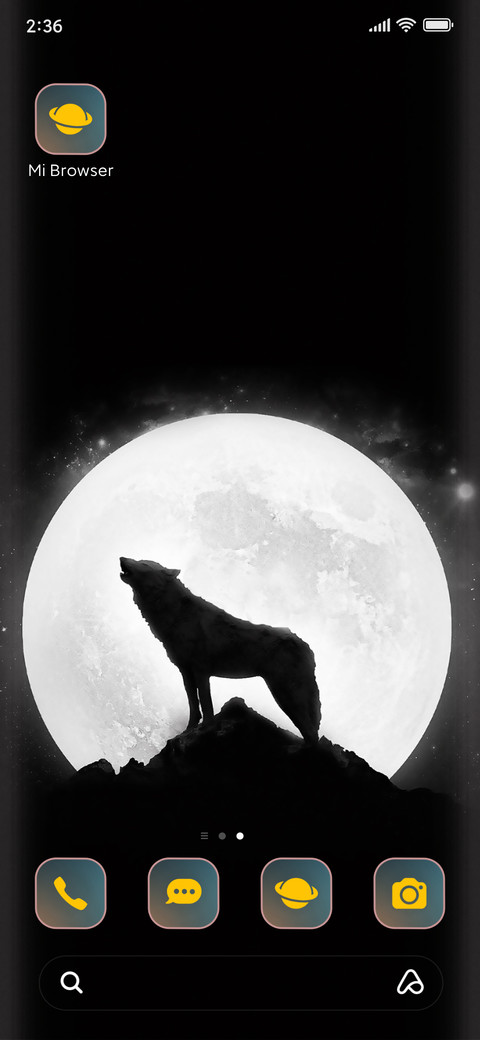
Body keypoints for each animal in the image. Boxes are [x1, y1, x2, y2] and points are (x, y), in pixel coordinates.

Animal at [120, 558, 321, 743]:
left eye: (143, 564)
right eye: (139, 560)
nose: (121, 558)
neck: (177, 615)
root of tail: (307, 647)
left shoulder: (201, 671)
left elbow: (206, 704)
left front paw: (203, 731)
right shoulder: (185, 671)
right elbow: (194, 705)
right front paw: (187, 732)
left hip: (285, 696)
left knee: (311, 733)